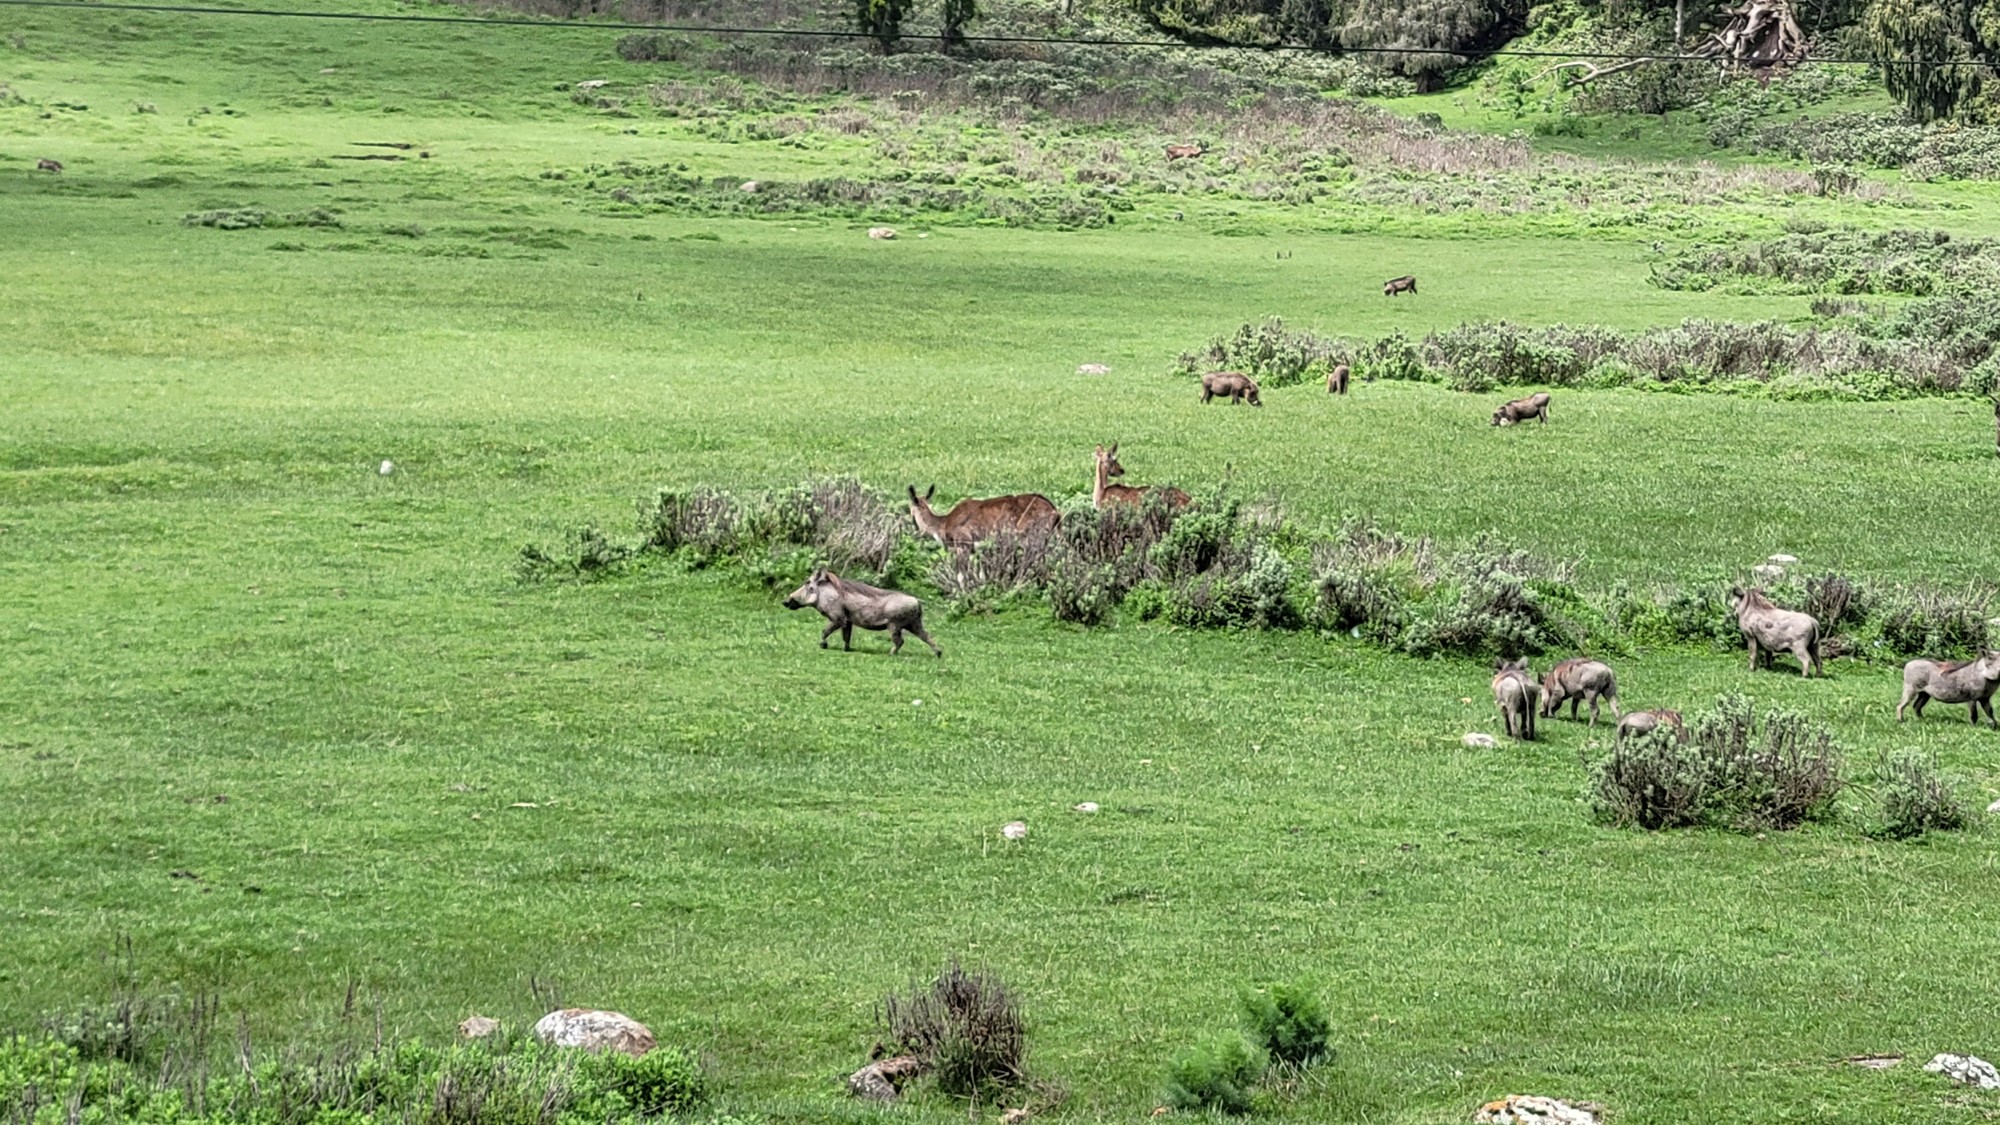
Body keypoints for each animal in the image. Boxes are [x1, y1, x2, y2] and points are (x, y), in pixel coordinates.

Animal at [908, 486, 1064, 548]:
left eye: (910, 509)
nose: (913, 527)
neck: (943, 524)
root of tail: (1056, 513)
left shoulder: (964, 540)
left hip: (1032, 536)